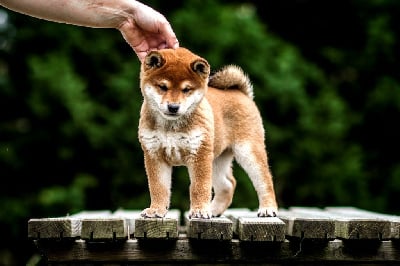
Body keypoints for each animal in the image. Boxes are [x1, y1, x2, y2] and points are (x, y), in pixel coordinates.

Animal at [139, 47, 276, 218]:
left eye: (186, 89)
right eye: (163, 87)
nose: (173, 107)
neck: (170, 125)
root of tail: (242, 93)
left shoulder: (199, 153)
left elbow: (199, 187)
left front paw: (199, 211)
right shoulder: (154, 154)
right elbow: (158, 188)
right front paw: (156, 210)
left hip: (248, 151)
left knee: (265, 181)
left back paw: (268, 209)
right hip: (217, 159)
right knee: (228, 184)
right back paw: (214, 209)